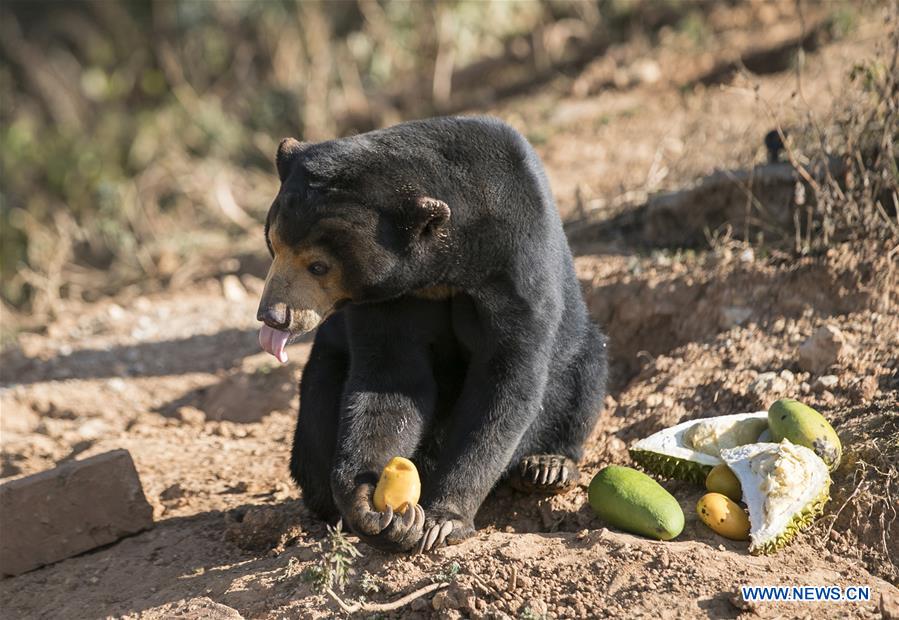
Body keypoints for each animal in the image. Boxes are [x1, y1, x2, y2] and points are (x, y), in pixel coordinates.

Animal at [256, 116, 608, 552]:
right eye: (272, 245)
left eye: (318, 266)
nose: (273, 316)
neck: (444, 270)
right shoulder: (393, 299)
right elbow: (390, 380)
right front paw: (372, 509)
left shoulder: (517, 267)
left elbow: (506, 382)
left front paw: (443, 520)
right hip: (323, 374)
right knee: (319, 408)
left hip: (579, 352)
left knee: (585, 371)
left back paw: (546, 467)